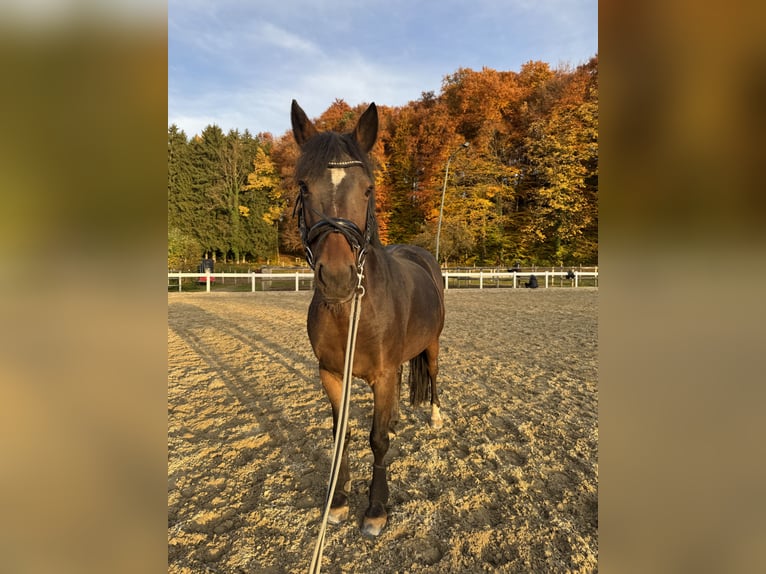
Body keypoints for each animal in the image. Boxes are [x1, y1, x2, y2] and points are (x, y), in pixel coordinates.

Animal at [291, 100, 445, 537]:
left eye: (368, 189)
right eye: (304, 187)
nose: (337, 277)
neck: (351, 315)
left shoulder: (382, 373)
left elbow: (376, 442)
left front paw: (376, 508)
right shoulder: (331, 374)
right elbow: (341, 435)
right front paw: (339, 501)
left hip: (432, 344)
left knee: (433, 376)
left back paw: (435, 416)